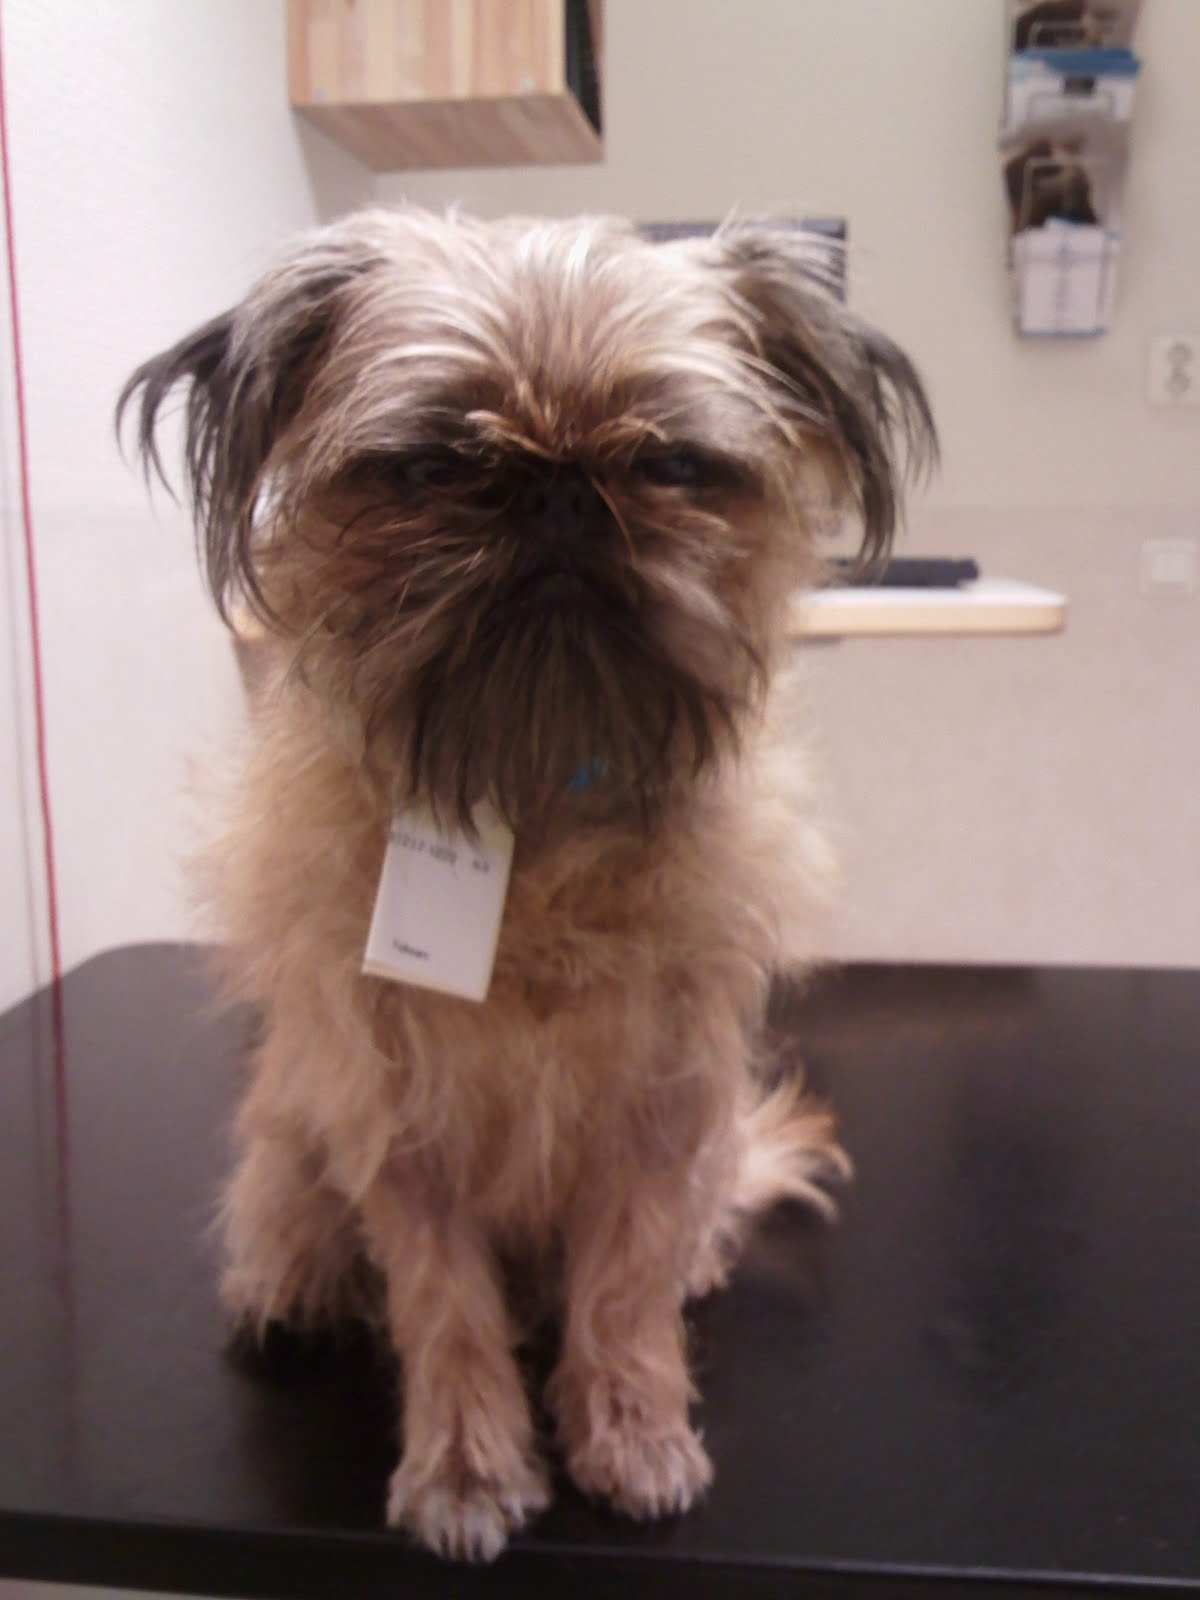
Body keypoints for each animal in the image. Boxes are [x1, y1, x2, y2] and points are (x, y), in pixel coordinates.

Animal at [119, 208, 933, 1561]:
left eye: (672, 466)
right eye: (425, 470)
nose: (557, 490)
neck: (534, 782)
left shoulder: (664, 1107)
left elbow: (625, 1279)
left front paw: (632, 1423)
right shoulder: (396, 1120)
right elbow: (442, 1302)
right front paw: (463, 1462)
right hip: (292, 1118)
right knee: (284, 1194)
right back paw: (291, 1283)